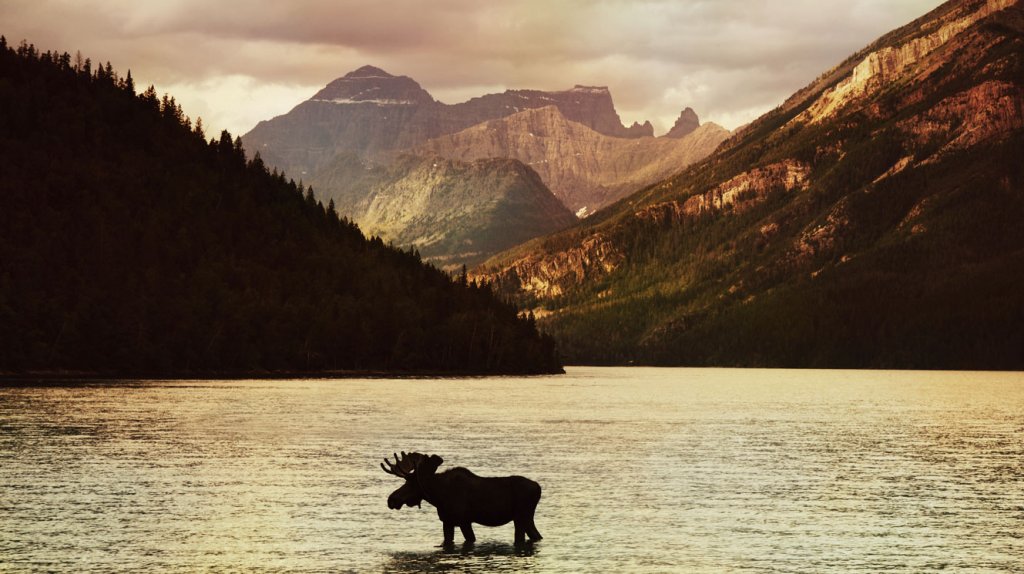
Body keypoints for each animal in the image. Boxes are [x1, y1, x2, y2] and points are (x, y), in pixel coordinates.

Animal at [381, 451, 543, 546]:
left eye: (412, 483)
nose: (391, 499)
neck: (438, 496)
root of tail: (538, 488)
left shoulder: (464, 521)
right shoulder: (447, 521)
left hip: (521, 517)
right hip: (526, 518)